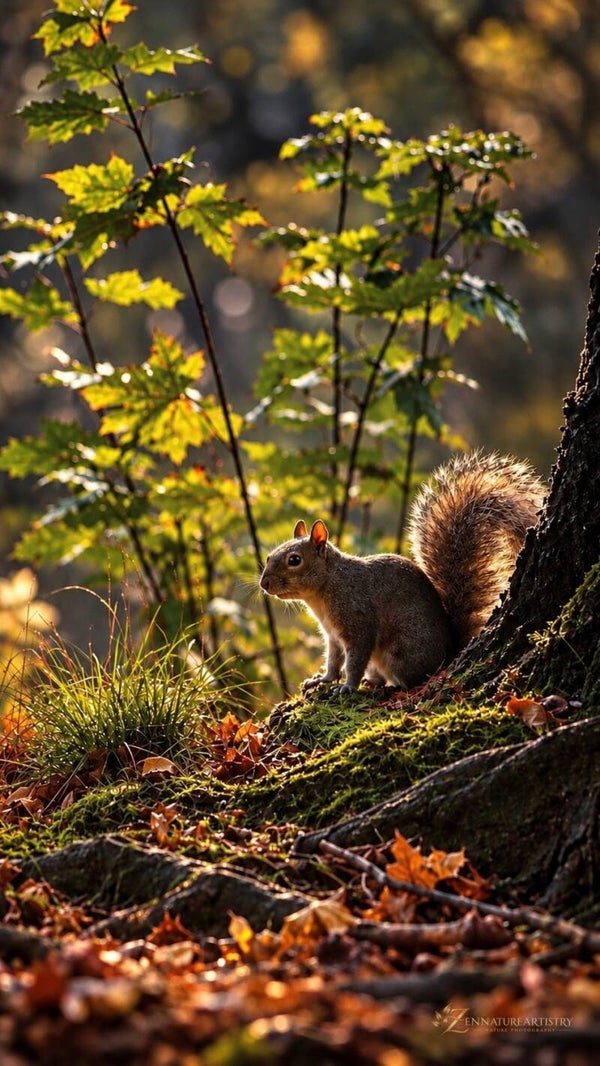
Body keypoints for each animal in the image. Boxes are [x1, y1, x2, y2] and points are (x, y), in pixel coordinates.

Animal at [259, 452, 544, 693]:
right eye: (269, 556)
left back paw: (391, 685)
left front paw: (348, 686)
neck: (328, 586)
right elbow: (333, 660)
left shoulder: (358, 621)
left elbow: (354, 659)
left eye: (294, 560)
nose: (264, 584)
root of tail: (449, 652)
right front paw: (323, 679)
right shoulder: (332, 636)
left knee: (410, 678)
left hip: (400, 653)